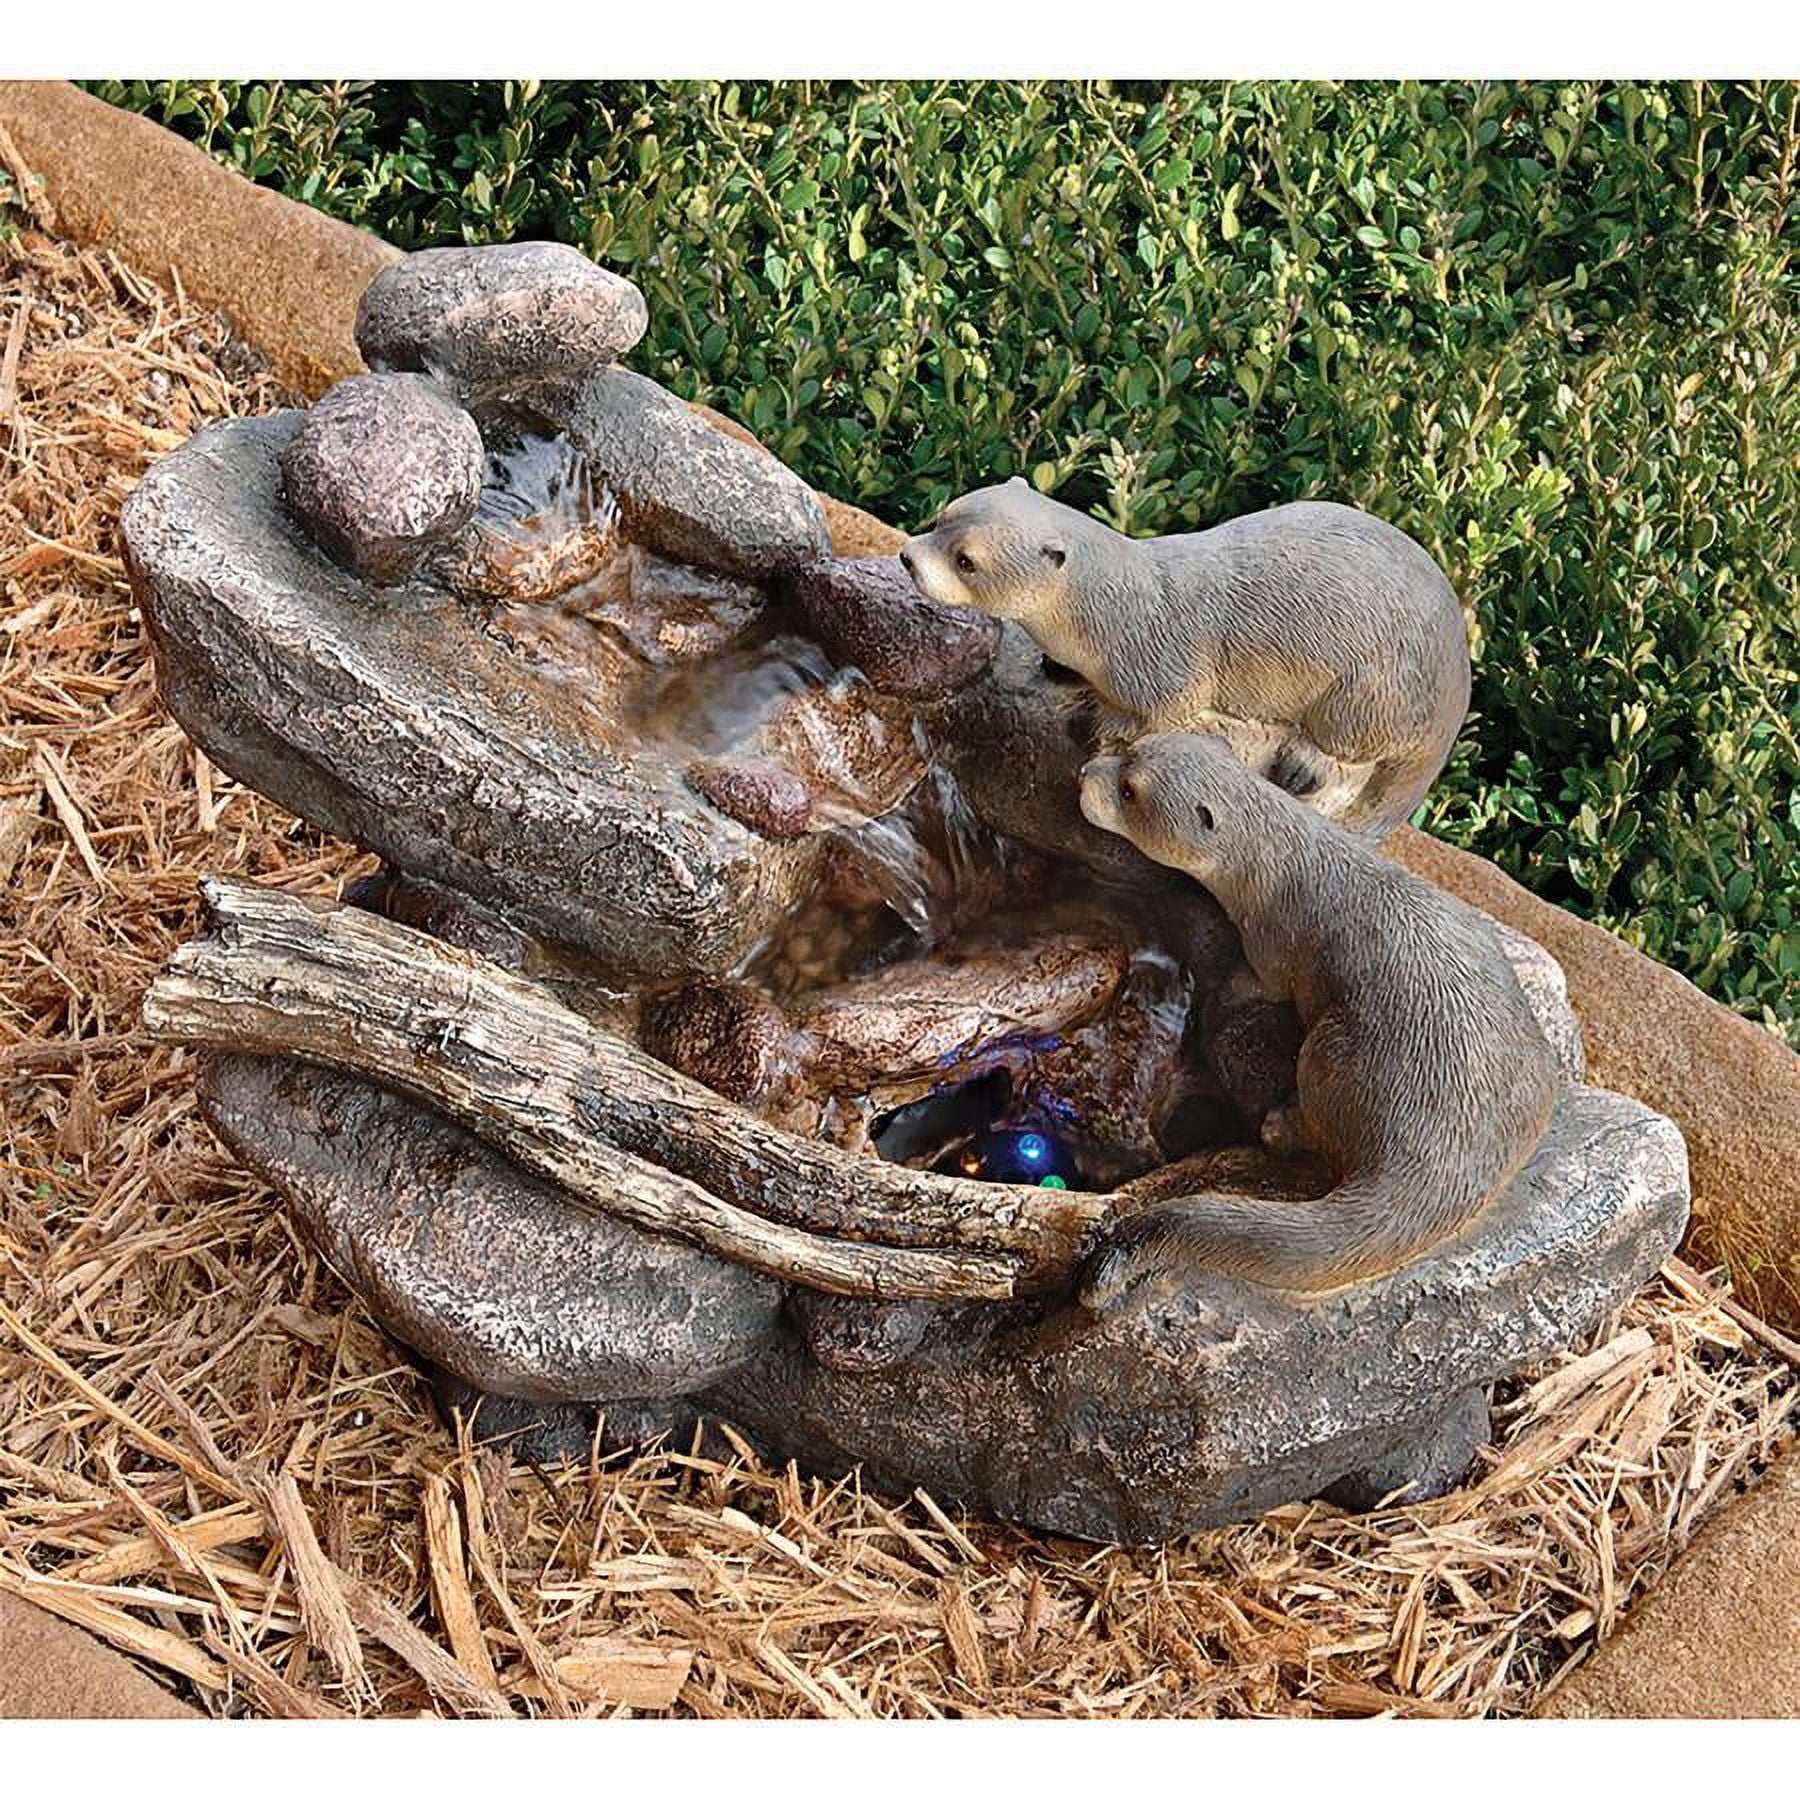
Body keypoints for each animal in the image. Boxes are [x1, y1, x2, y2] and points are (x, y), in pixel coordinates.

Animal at [901, 479, 1471, 838]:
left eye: (966, 560)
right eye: (941, 517)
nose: (907, 556)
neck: (1115, 613)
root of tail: (1457, 689)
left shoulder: (1165, 666)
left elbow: (1165, 712)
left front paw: (1106, 726)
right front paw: (1058, 670)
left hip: (1373, 692)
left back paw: (1303, 764)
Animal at [1076, 731, 1561, 1304]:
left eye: (1129, 791)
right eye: (1130, 747)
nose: (1084, 773)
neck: (1273, 866)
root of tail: (1448, 1158)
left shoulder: (1272, 941)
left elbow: (1257, 983)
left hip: (1334, 1051)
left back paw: (1281, 1122)